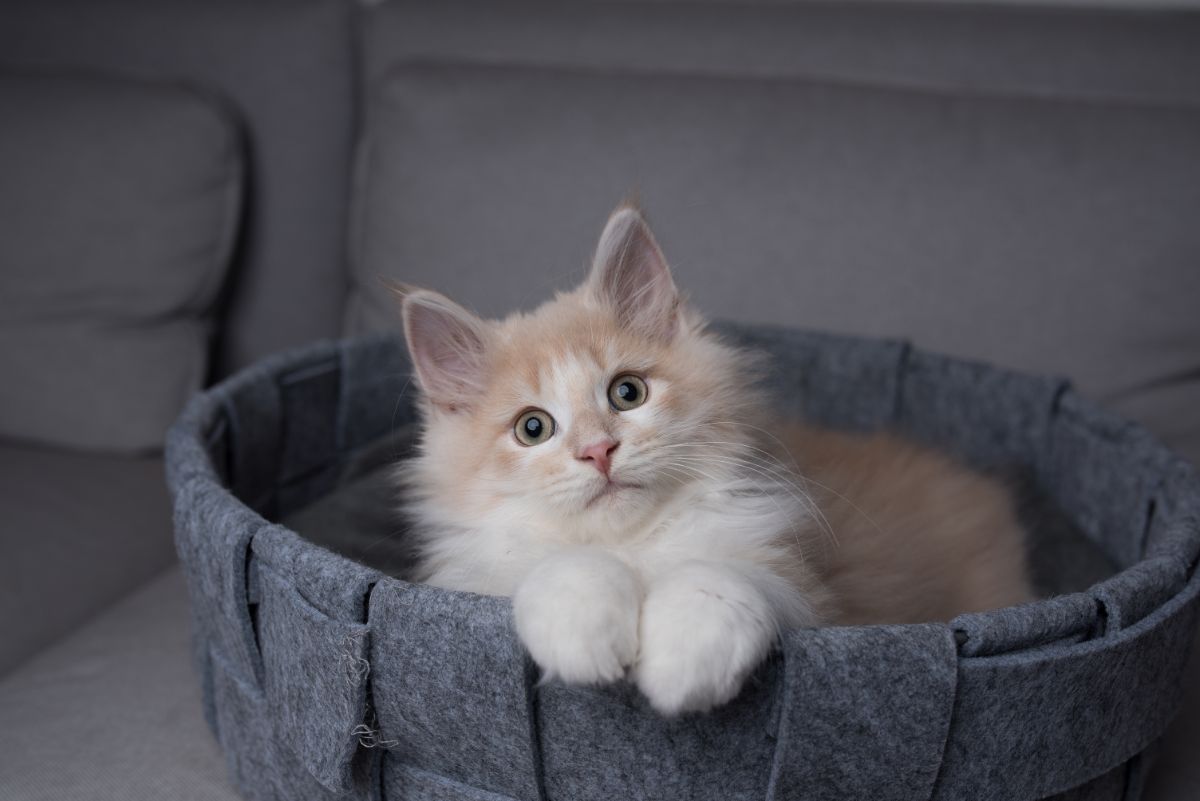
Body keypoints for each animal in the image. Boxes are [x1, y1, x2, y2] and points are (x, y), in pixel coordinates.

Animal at [396, 201, 1032, 714]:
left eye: (627, 393)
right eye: (533, 428)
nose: (598, 450)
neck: (634, 548)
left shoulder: (806, 588)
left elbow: (718, 576)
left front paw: (684, 667)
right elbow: (564, 566)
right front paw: (584, 639)